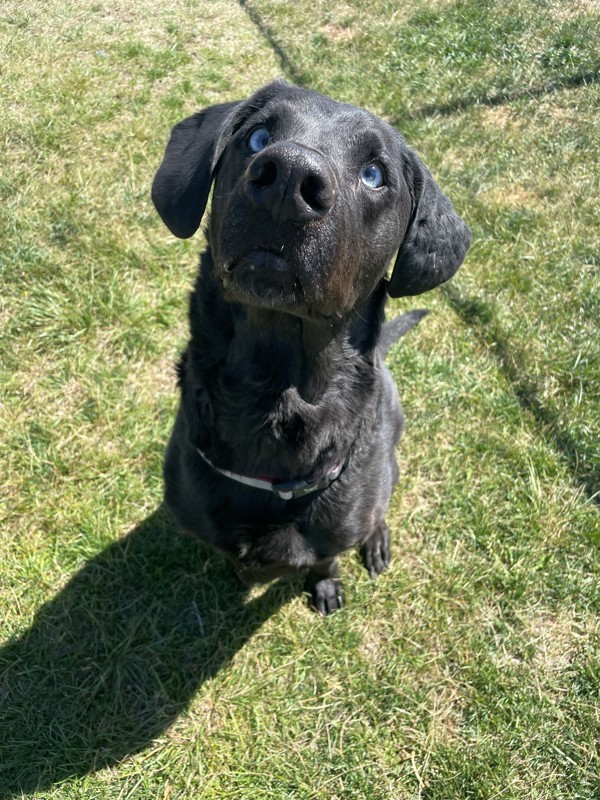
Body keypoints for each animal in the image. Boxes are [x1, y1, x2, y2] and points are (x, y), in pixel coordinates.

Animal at [150, 79, 468, 612]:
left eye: (374, 174)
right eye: (258, 138)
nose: (289, 179)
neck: (273, 398)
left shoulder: (335, 527)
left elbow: (326, 558)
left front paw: (324, 583)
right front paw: (241, 574)